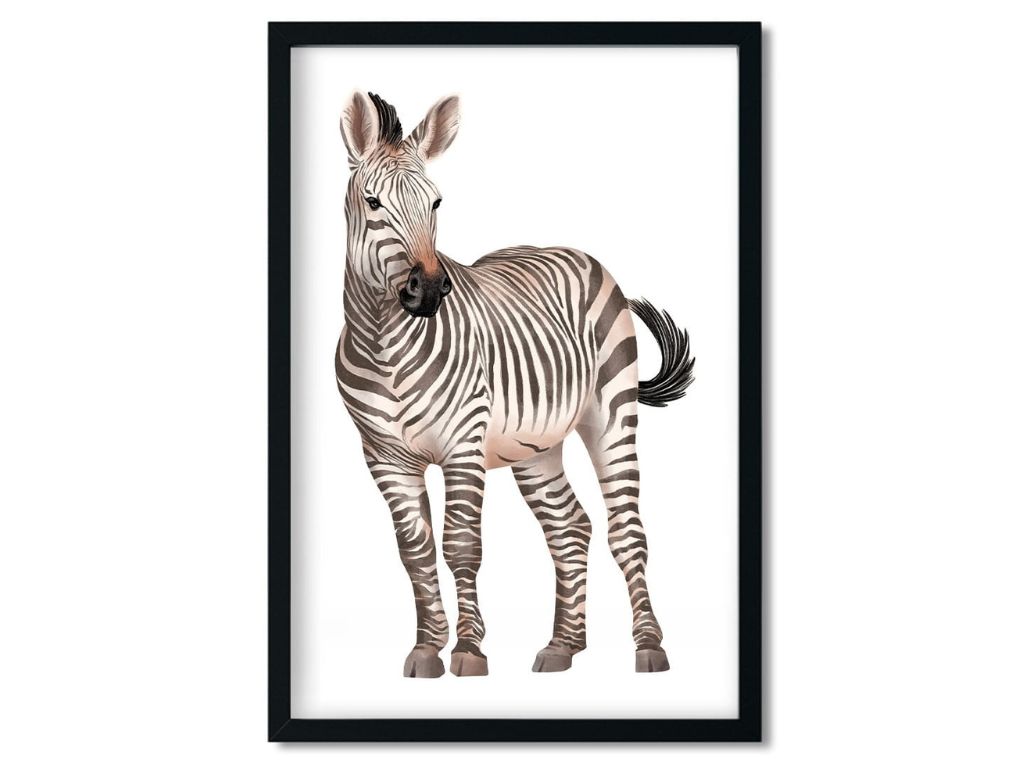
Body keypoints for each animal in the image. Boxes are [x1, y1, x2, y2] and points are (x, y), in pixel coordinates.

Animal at [335, 92, 694, 677]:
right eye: (372, 203)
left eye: (437, 203)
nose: (429, 289)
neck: (384, 341)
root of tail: (567, 249)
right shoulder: (383, 456)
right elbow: (415, 551)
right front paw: (426, 649)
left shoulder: (461, 444)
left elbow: (461, 545)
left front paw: (468, 650)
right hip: (535, 446)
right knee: (570, 529)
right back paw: (562, 646)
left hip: (612, 413)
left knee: (625, 530)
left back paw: (648, 646)